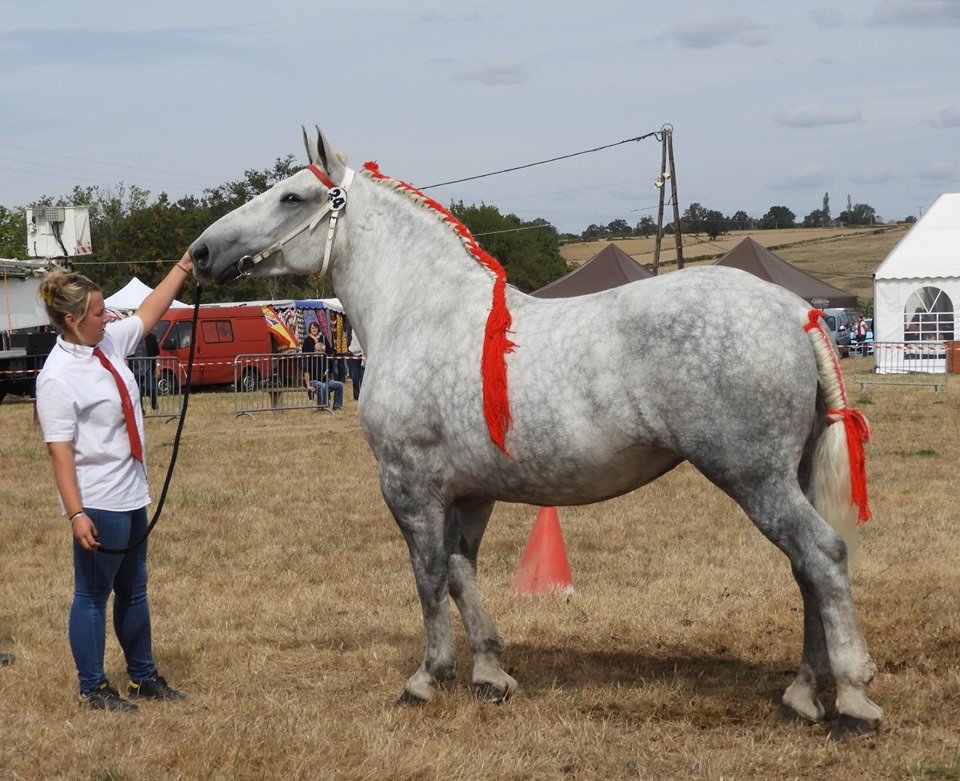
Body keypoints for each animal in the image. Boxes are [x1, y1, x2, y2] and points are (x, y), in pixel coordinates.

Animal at [189, 126, 884, 736]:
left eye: (292, 196)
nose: (200, 253)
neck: (420, 313)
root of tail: (794, 309)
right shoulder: (471, 491)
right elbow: (462, 571)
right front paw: (491, 673)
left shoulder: (408, 485)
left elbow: (428, 575)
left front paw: (429, 677)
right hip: (787, 476)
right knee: (805, 569)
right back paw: (803, 694)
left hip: (754, 477)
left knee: (822, 556)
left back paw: (851, 700)